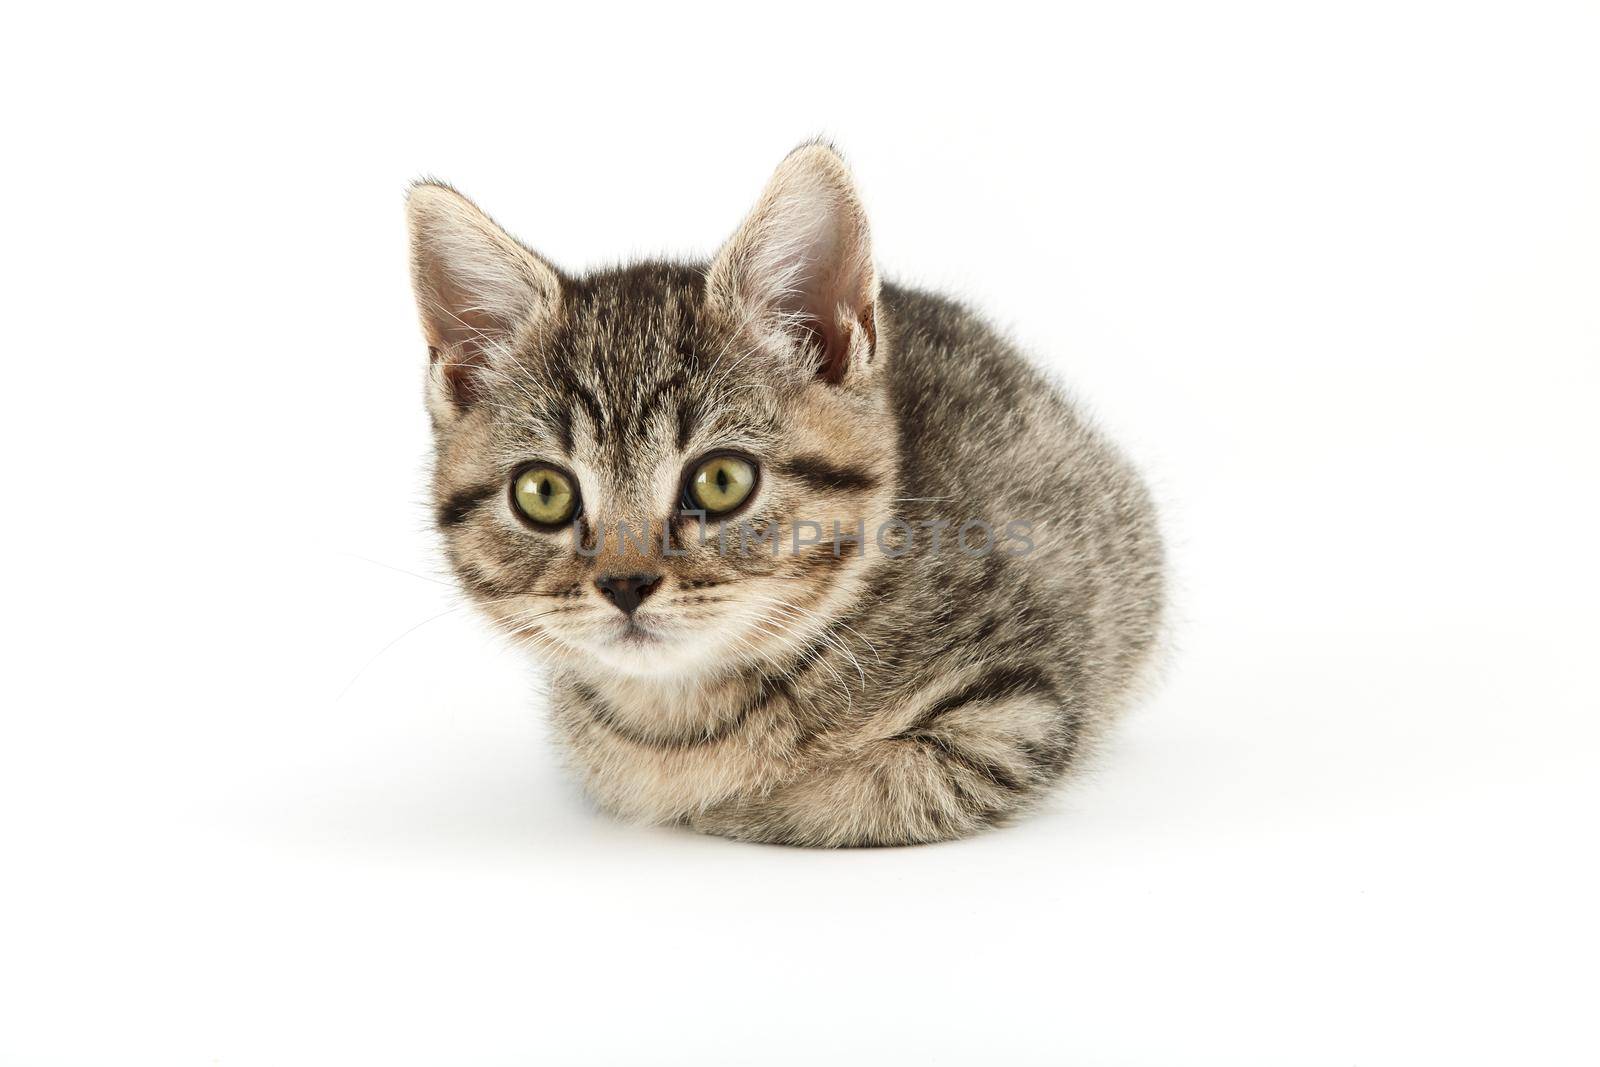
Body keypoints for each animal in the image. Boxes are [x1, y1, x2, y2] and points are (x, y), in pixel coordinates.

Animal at [406, 143, 1171, 844]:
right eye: (543, 493)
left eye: (721, 480)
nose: (625, 584)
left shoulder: (1016, 713)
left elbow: (841, 795)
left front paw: (728, 797)